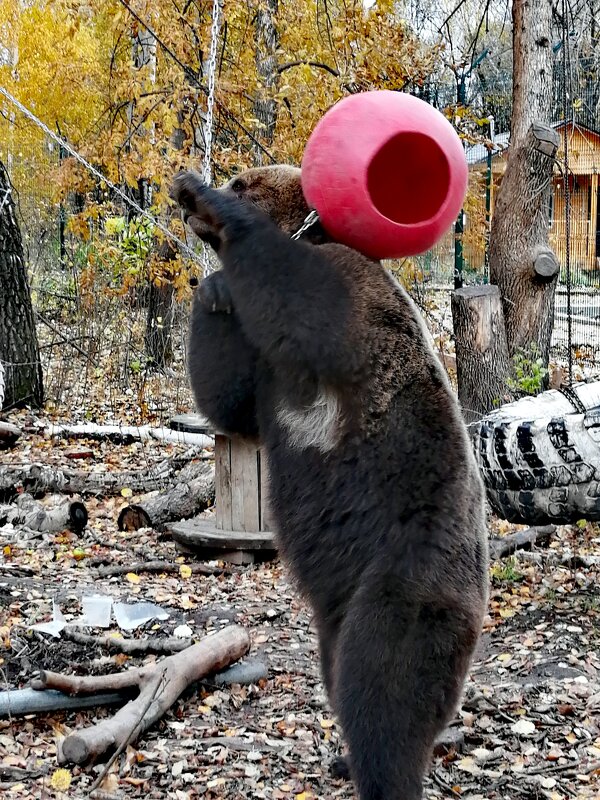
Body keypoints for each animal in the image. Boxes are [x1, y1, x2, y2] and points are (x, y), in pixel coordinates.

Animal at [170, 166, 488, 800]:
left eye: (242, 180)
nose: (190, 204)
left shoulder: (348, 304)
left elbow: (308, 297)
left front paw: (206, 198)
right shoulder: (264, 370)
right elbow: (230, 403)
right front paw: (211, 290)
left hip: (405, 580)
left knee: (382, 684)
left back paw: (381, 773)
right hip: (342, 603)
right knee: (338, 671)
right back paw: (347, 758)